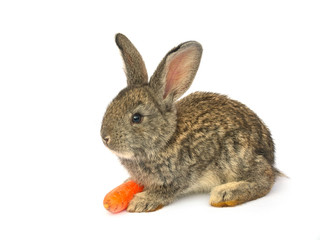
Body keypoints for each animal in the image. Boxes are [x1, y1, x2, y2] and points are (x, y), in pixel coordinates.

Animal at [100, 33, 280, 212]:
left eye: (136, 118)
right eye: (111, 105)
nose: (105, 138)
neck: (166, 139)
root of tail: (269, 152)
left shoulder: (178, 177)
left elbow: (166, 191)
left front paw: (142, 201)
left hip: (236, 155)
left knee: (265, 177)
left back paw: (225, 194)